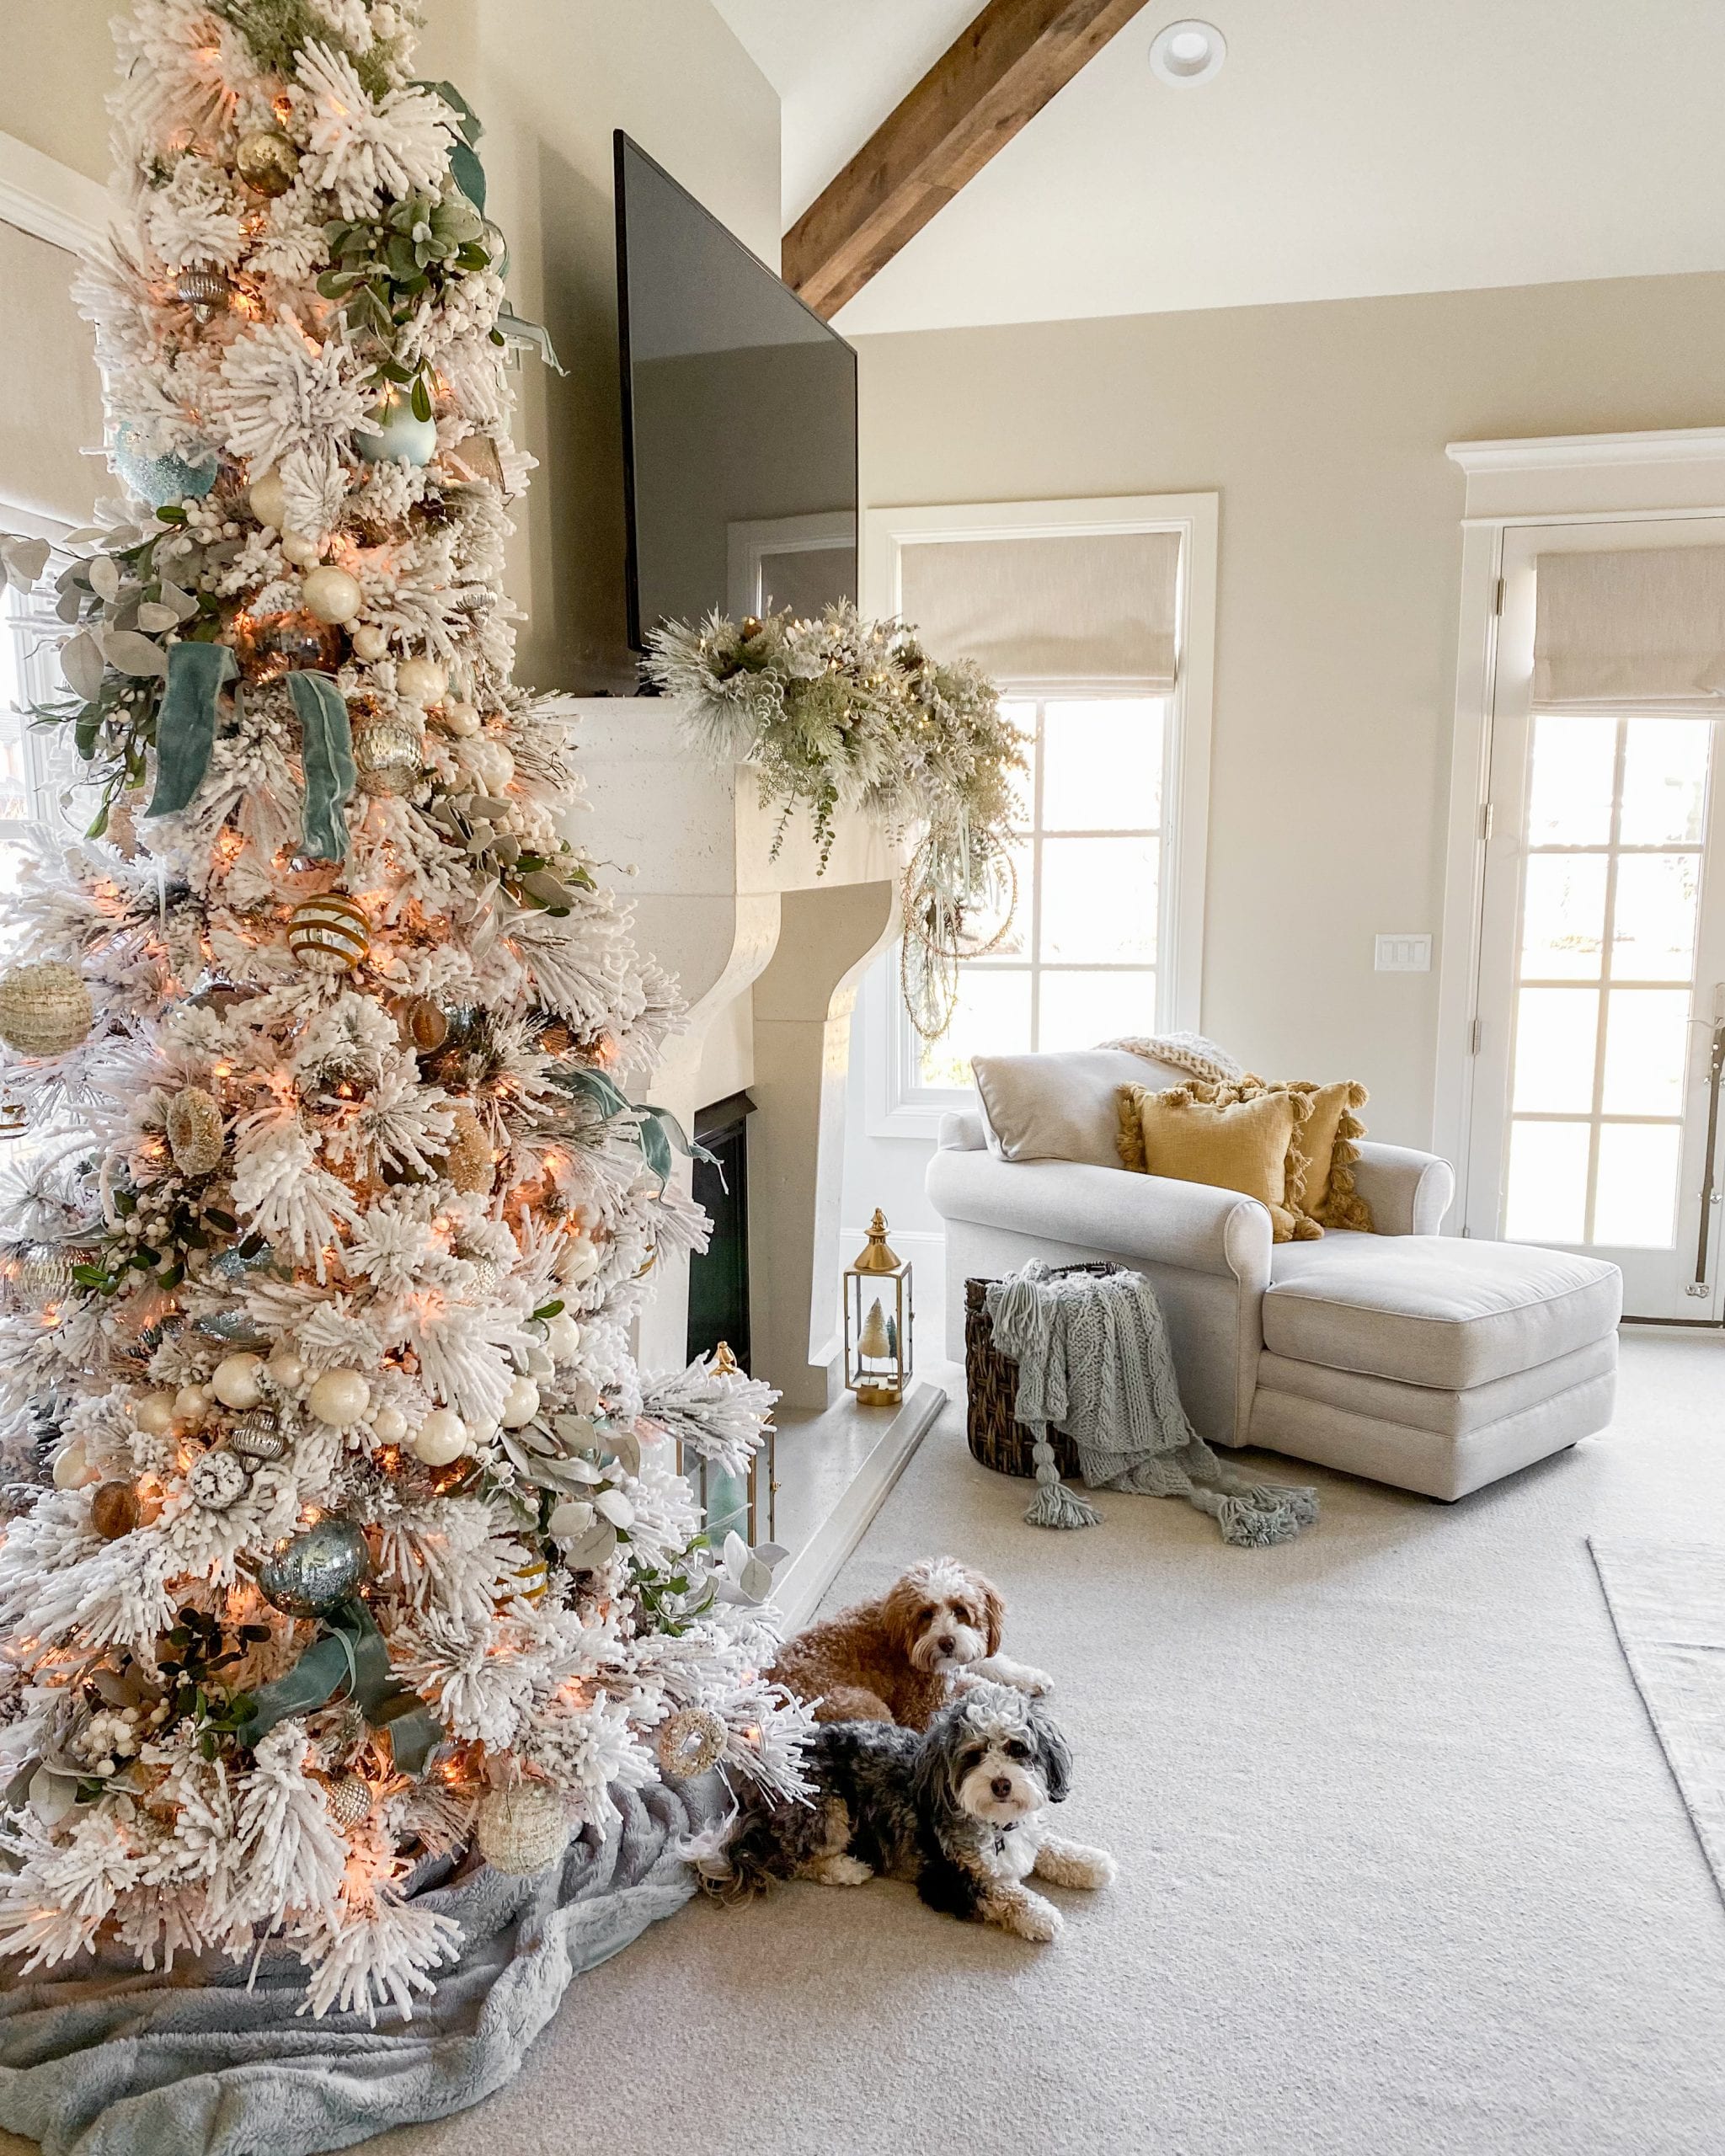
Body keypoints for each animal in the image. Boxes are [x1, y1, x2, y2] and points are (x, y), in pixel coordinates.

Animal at [702, 1673, 1121, 1949]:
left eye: (1017, 1748)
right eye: (974, 1755)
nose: (1001, 1784)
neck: (995, 1826)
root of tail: (762, 1770)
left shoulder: (1024, 1831)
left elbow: (1050, 1846)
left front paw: (1090, 1862)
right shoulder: (947, 1879)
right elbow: (1003, 1892)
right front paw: (1041, 1915)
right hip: (828, 1809)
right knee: (795, 1859)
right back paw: (848, 1868)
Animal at [767, 1561, 1052, 1725]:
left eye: (960, 1610)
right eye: (926, 1614)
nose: (947, 1642)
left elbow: (993, 1664)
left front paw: (1032, 1678)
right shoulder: (923, 1703)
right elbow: (976, 1686)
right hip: (864, 1706)